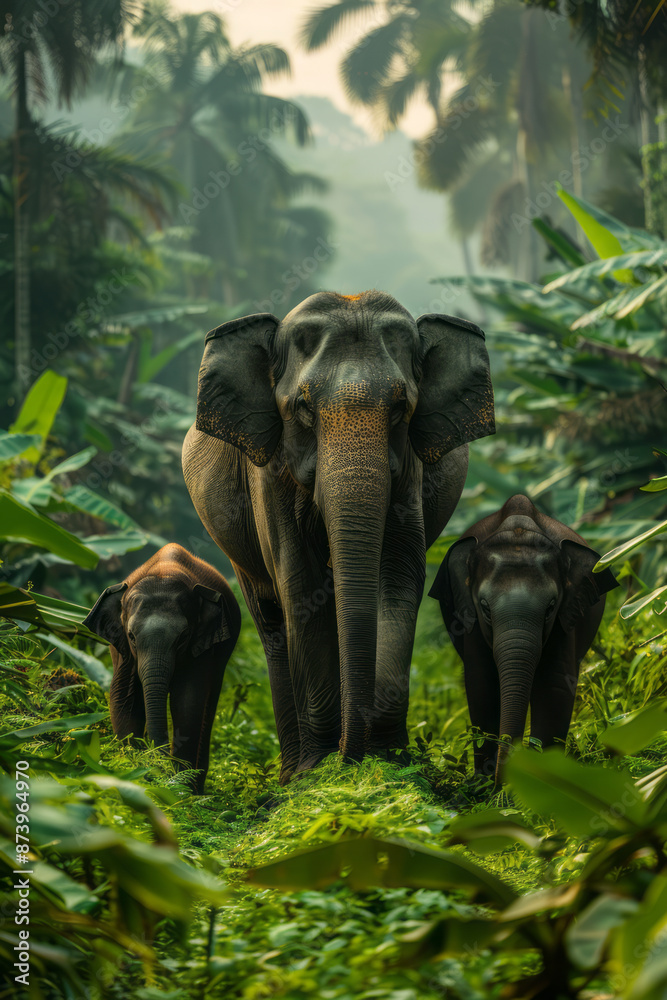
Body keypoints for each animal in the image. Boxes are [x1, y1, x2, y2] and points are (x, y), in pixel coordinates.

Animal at [84, 543, 241, 792]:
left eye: (183, 637)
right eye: (131, 636)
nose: (157, 761)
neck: (164, 573)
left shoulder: (202, 648)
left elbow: (188, 702)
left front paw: (181, 789)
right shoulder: (123, 650)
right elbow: (123, 696)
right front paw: (135, 771)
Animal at [182, 289, 495, 783]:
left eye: (401, 409)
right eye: (304, 409)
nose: (352, 759)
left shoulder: (410, 473)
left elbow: (398, 576)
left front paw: (390, 764)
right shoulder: (268, 474)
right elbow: (300, 584)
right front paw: (318, 773)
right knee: (271, 619)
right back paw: (293, 773)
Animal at [429, 494, 618, 783]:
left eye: (550, 607)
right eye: (485, 607)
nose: (503, 780)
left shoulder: (566, 615)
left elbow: (554, 683)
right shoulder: (470, 618)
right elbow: (482, 684)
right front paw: (483, 786)